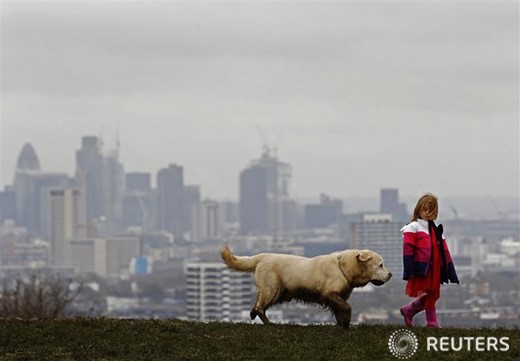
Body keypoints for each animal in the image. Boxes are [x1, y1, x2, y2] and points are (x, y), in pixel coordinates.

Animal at [220, 245, 394, 326]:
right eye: (380, 265)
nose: (391, 275)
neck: (344, 267)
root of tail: (263, 256)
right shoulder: (330, 293)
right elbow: (346, 307)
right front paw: (345, 323)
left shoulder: (338, 297)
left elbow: (341, 309)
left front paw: (341, 324)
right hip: (272, 289)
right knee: (260, 307)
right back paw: (269, 322)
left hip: (276, 292)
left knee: (257, 304)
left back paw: (252, 314)